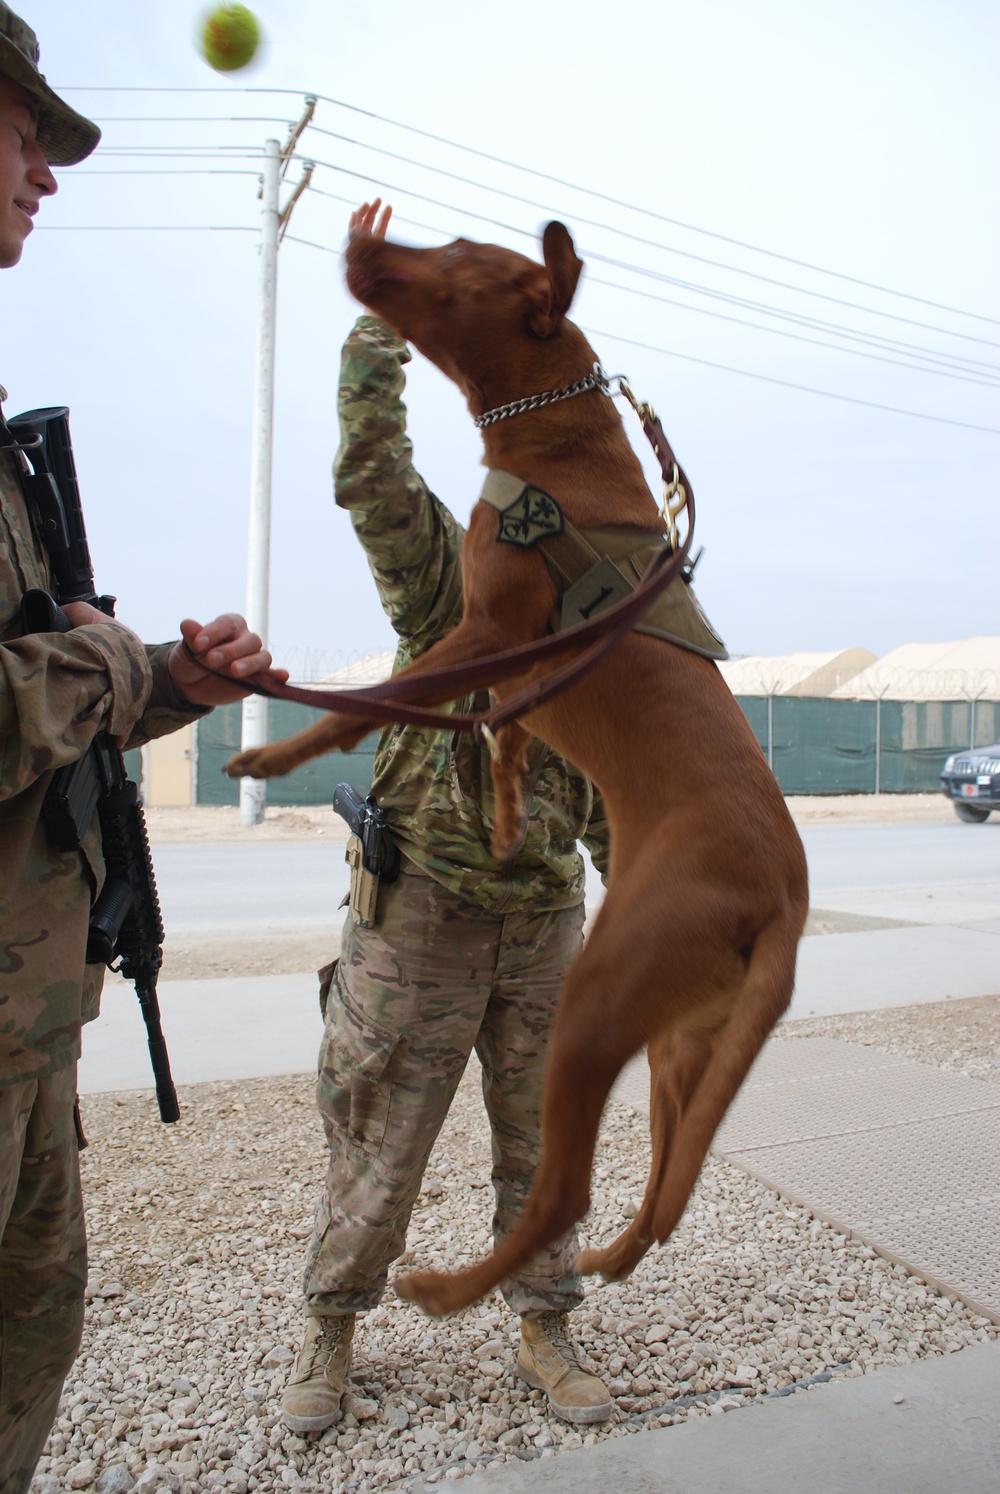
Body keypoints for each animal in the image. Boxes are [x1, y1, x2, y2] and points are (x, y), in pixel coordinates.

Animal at [228, 216, 813, 1314]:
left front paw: (274, 746)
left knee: (562, 1191)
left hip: (593, 1004)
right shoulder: (514, 671)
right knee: (663, 1189)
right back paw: (610, 1256)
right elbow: (500, 740)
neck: (556, 438)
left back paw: (449, 1286)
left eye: (458, 256)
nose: (364, 240)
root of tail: (786, 899)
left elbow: (370, 702)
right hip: (680, 1040)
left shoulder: (490, 628)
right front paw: (500, 821)